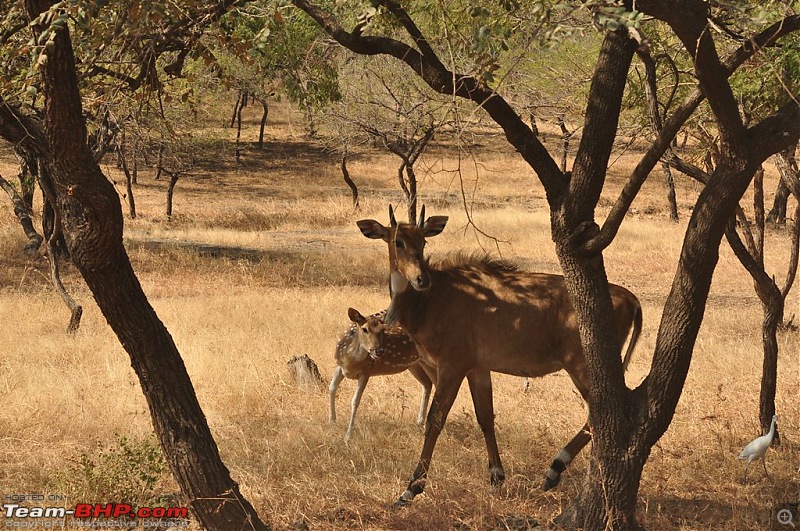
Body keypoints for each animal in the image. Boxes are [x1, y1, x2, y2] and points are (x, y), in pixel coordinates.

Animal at [330, 308, 434, 440]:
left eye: (383, 330)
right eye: (364, 329)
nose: (378, 351)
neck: (351, 361)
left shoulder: (367, 371)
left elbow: (355, 400)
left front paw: (348, 436)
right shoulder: (339, 366)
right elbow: (332, 388)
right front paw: (331, 422)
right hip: (415, 365)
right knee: (427, 383)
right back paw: (420, 423)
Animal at [358, 208, 644, 508]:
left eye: (423, 241)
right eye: (398, 241)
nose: (421, 279)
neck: (431, 300)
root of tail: (632, 300)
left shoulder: (452, 365)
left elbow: (435, 420)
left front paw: (412, 488)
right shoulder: (477, 368)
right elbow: (485, 416)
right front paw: (496, 474)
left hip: (581, 365)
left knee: (606, 410)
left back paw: (554, 469)